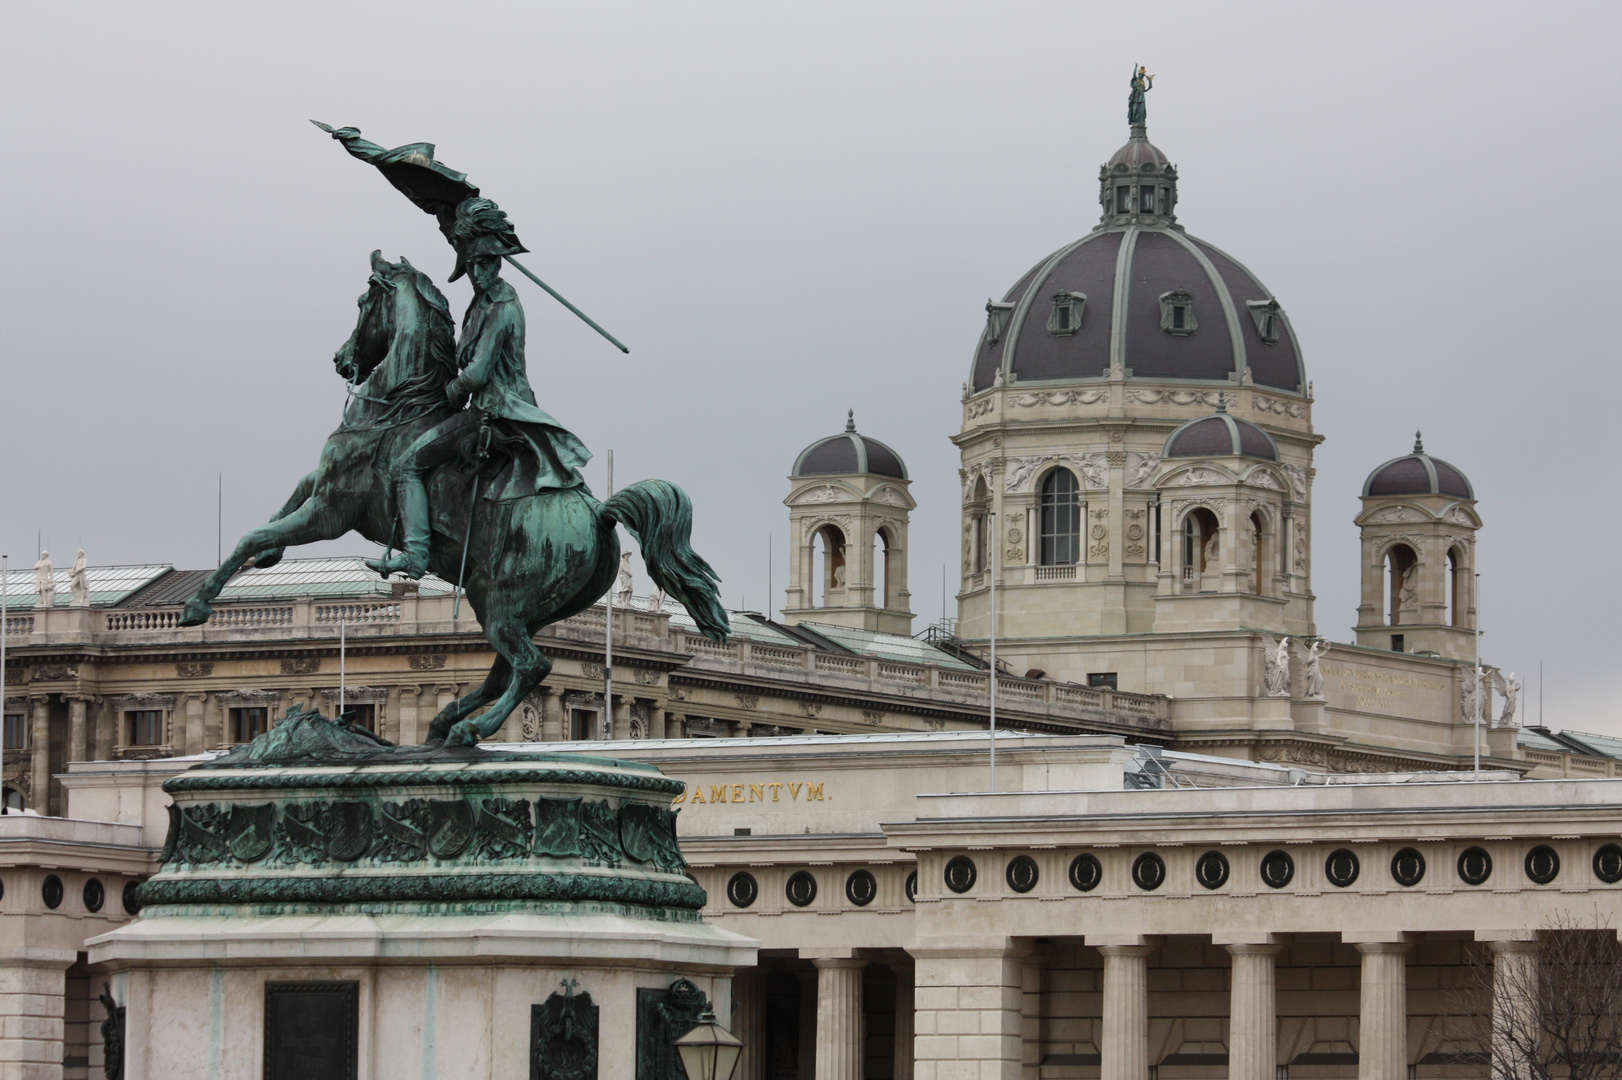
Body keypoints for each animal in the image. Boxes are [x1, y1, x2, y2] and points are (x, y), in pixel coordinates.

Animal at [179, 252, 729, 745]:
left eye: (362, 302)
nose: (340, 360)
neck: (398, 408)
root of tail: (599, 514)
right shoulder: (323, 486)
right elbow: (280, 506)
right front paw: (266, 560)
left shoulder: (333, 511)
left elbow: (253, 533)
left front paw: (197, 607)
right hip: (507, 603)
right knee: (503, 671)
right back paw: (442, 724)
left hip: (504, 603)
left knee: (531, 666)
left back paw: (470, 729)